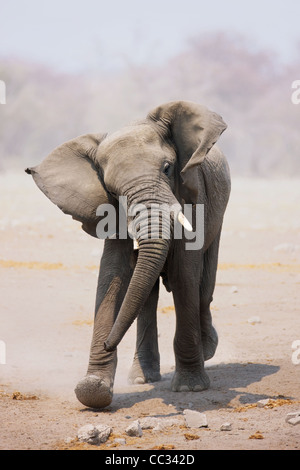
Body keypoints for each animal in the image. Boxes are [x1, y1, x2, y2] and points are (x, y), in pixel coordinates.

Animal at [25, 102, 231, 408]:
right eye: (111, 189)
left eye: (167, 168)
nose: (108, 343)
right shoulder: (110, 209)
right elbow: (114, 271)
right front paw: (93, 390)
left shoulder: (194, 195)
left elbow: (184, 270)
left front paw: (190, 388)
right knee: (148, 291)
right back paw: (141, 378)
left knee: (204, 284)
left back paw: (208, 349)